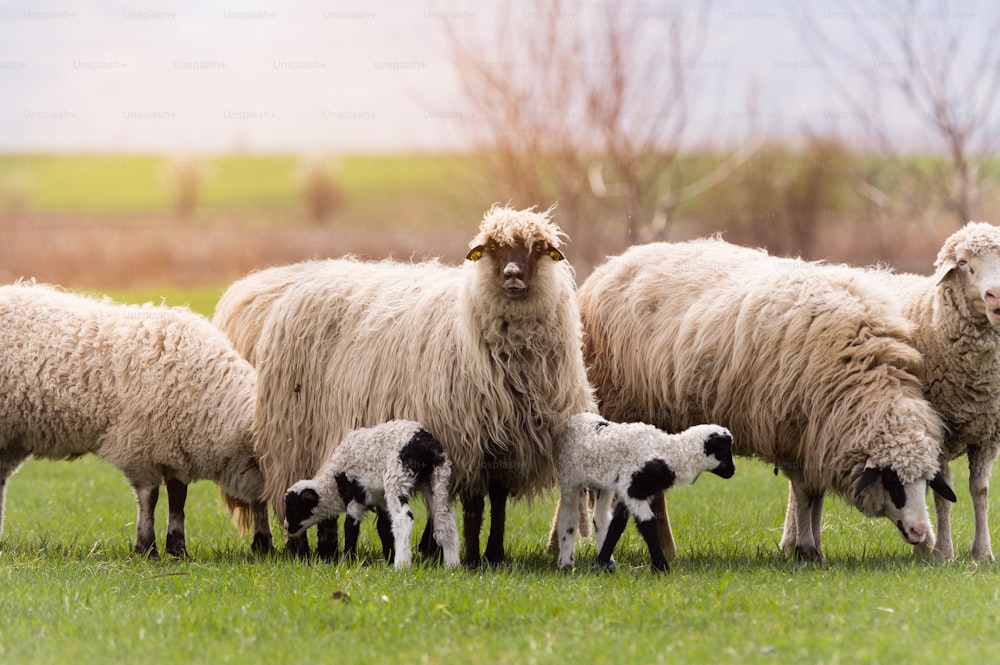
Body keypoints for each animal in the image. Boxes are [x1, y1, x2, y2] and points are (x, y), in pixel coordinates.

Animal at [0, 280, 274, 556]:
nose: (269, 548)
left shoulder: (176, 447)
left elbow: (178, 499)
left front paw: (178, 549)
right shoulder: (139, 447)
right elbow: (149, 498)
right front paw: (147, 548)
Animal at [282, 422, 460, 568]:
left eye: (295, 507)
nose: (286, 526)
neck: (333, 484)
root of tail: (425, 444)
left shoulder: (355, 499)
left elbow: (351, 528)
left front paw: (347, 561)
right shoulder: (381, 500)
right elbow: (384, 528)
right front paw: (388, 560)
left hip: (396, 477)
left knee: (403, 519)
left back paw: (402, 566)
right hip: (437, 479)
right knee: (445, 519)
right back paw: (452, 566)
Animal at [556, 410, 736, 572]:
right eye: (725, 450)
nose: (732, 471)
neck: (670, 455)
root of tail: (578, 416)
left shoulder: (629, 490)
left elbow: (617, 524)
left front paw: (601, 563)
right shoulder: (634, 490)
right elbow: (648, 524)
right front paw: (661, 567)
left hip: (602, 486)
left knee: (600, 519)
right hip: (569, 479)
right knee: (568, 518)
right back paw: (565, 564)